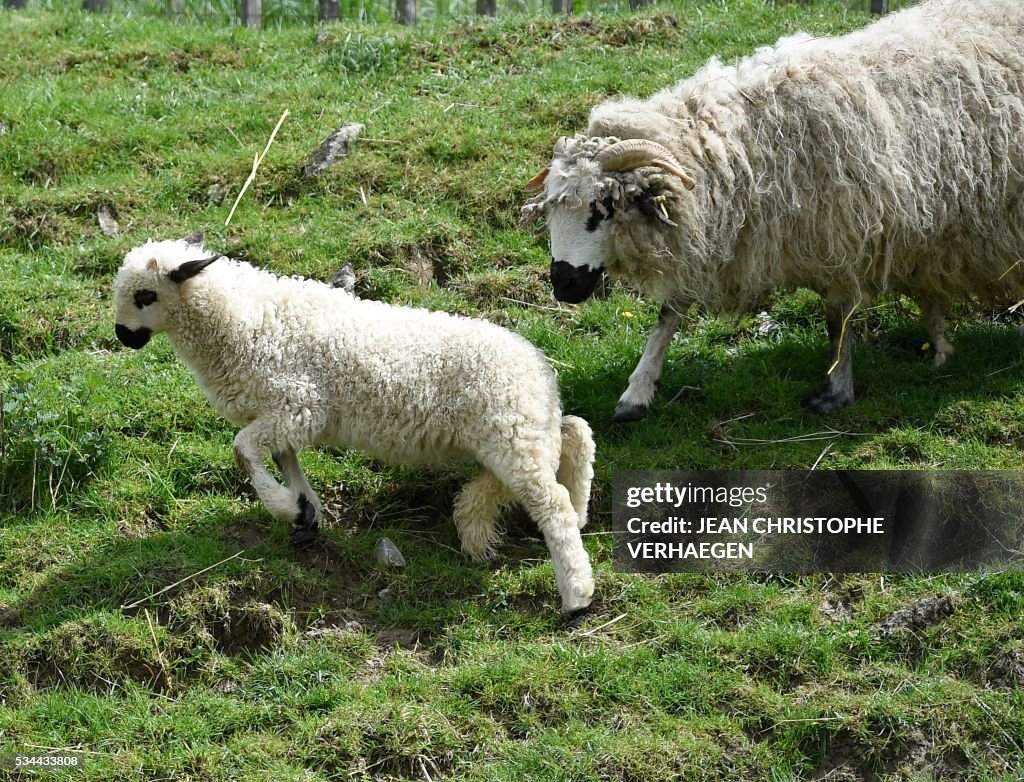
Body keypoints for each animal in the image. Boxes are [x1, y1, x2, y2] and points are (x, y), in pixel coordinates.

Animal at [111, 232, 598, 618]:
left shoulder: (297, 405)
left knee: (550, 499)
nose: (122, 335)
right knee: (573, 434)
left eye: (145, 296)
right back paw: (560, 511)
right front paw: (305, 512)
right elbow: (284, 460)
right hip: (516, 429)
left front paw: (284, 507)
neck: (242, 321)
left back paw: (576, 593)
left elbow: (242, 451)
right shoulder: (283, 414)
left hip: (511, 430)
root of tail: (539, 367)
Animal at [524, 0, 1024, 421]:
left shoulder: (838, 234)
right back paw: (940, 347)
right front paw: (638, 391)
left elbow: (837, 320)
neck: (745, 149)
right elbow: (669, 314)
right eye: (553, 210)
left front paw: (836, 390)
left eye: (605, 207)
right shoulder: (714, 234)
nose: (562, 285)